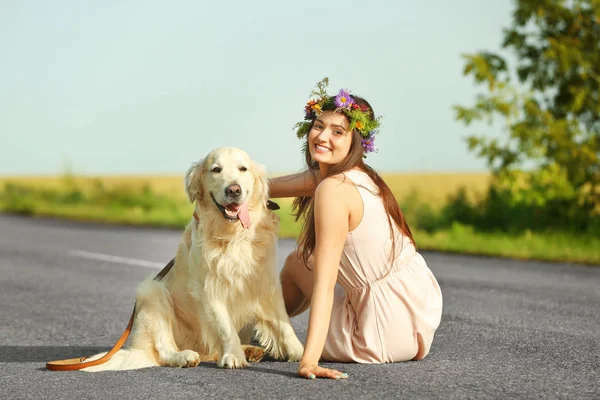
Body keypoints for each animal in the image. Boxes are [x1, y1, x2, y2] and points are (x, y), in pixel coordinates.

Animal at [82, 148, 302, 372]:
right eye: (216, 169)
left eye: (243, 168)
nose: (233, 190)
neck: (231, 235)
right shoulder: (209, 289)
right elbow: (225, 327)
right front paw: (232, 356)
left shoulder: (266, 284)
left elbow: (283, 323)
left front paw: (300, 353)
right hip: (152, 291)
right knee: (163, 349)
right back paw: (185, 356)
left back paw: (250, 350)